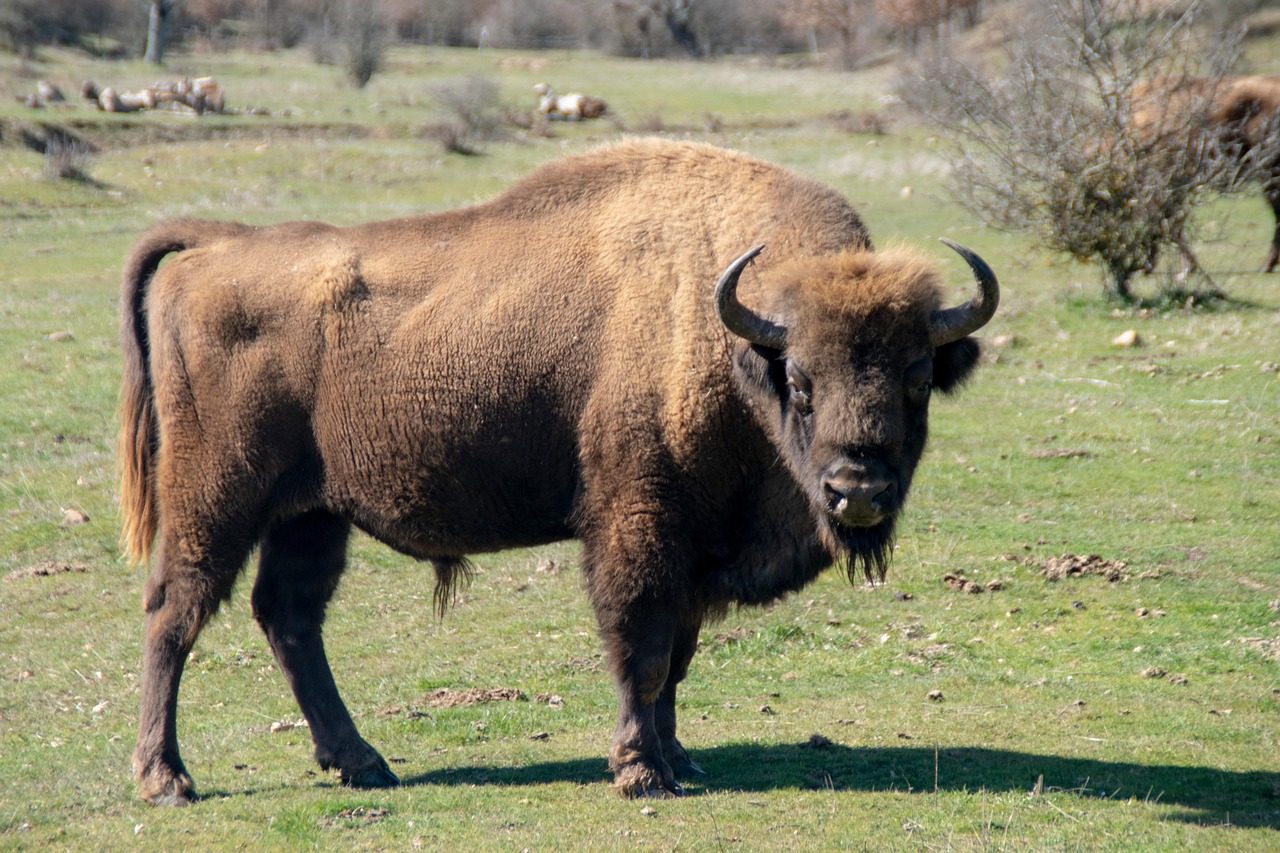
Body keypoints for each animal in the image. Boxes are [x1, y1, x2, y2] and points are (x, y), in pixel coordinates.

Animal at [119, 138, 999, 805]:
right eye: (804, 381)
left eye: (919, 375)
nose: (858, 490)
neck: (729, 336)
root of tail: (213, 247)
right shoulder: (639, 524)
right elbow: (641, 646)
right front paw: (641, 772)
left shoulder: (693, 549)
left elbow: (676, 655)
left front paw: (680, 759)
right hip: (217, 496)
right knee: (175, 611)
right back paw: (167, 779)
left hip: (311, 513)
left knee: (290, 617)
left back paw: (364, 762)